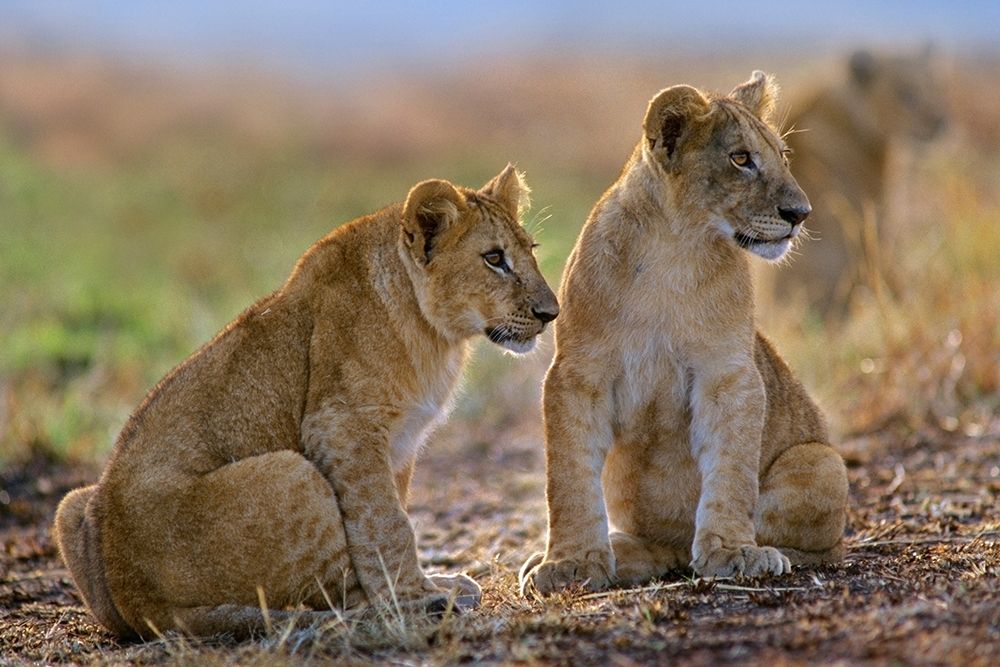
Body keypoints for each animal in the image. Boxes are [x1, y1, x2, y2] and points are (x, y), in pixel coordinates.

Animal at [54, 164, 559, 639]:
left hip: (71, 506)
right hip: (291, 471)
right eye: (494, 258)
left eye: (530, 250)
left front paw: (420, 585)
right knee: (334, 595)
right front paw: (412, 596)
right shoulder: (342, 425)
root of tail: (142, 599)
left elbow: (383, 516)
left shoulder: (399, 444)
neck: (435, 333)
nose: (550, 313)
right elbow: (386, 523)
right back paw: (422, 605)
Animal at [519, 72, 848, 595]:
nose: (801, 213)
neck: (674, 248)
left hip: (822, 462)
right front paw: (570, 563)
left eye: (782, 156)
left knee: (814, 543)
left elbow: (731, 472)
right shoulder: (576, 374)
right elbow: (568, 479)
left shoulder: (729, 374)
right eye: (741, 159)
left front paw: (732, 553)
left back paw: (764, 553)